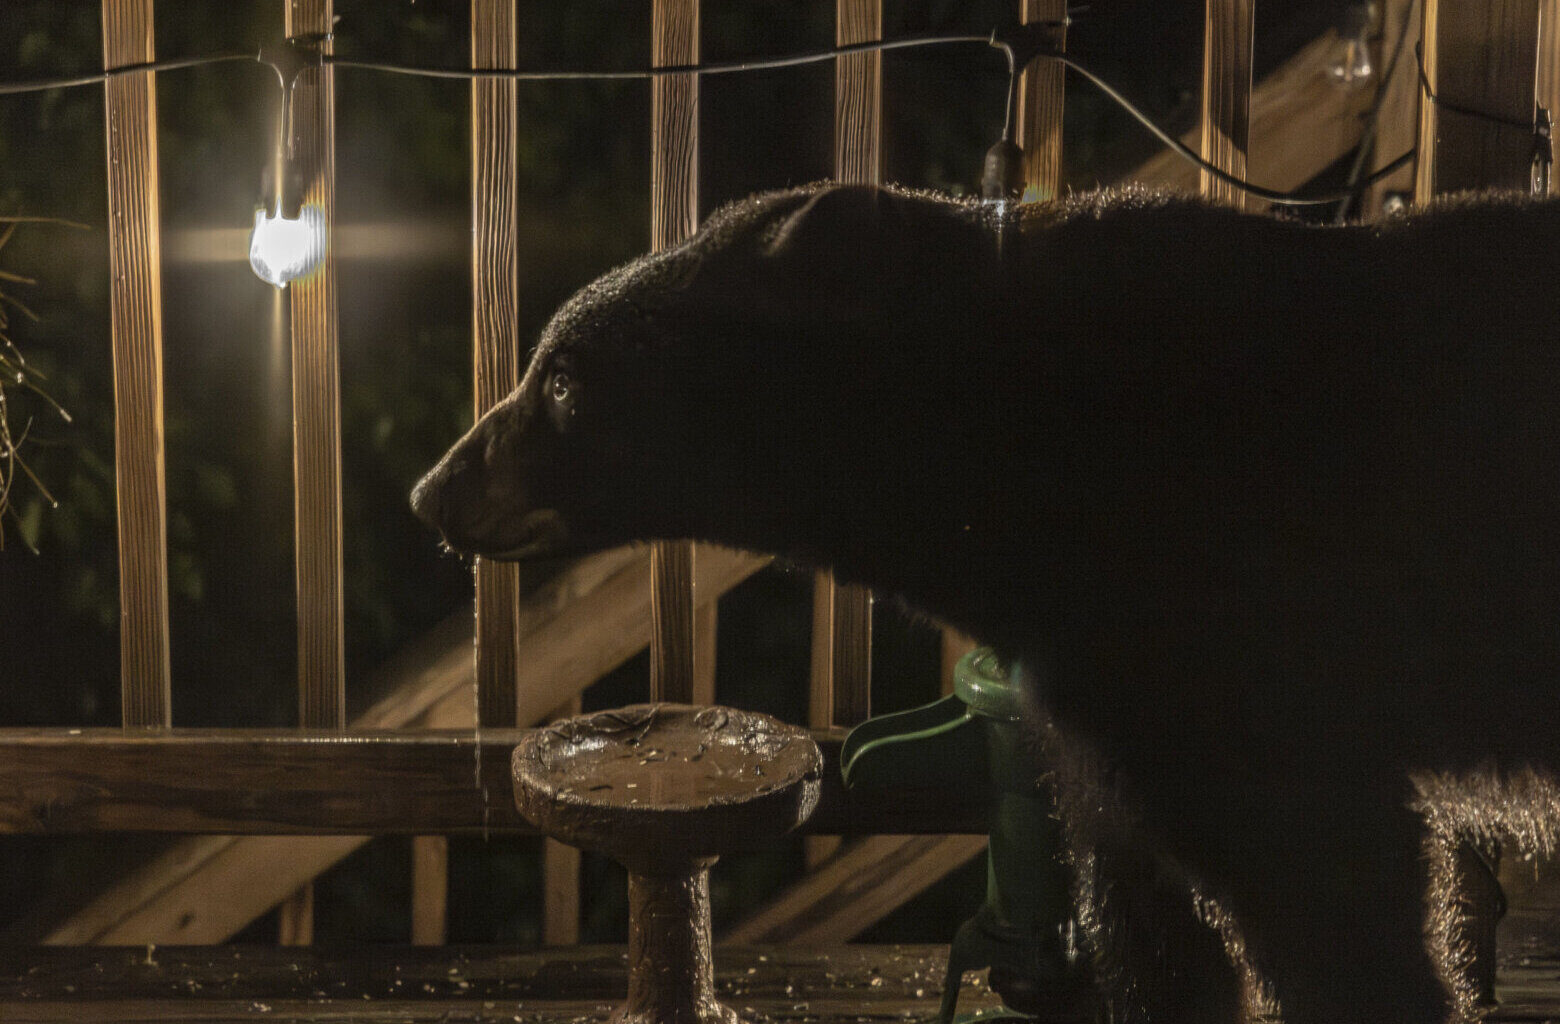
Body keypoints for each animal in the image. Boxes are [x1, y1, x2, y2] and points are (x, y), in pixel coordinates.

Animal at [412, 182, 1560, 1024]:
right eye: (541, 363)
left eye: (563, 381)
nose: (433, 490)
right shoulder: (1108, 701)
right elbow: (1149, 912)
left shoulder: (1238, 646)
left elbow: (1337, 892)